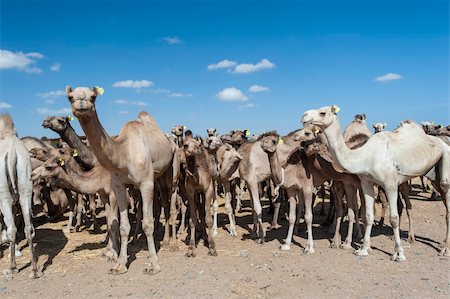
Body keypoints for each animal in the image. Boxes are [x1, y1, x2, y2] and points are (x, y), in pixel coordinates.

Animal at [67, 85, 179, 276]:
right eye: (70, 97)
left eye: (93, 97)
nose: (81, 103)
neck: (124, 154)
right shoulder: (118, 186)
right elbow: (122, 225)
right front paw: (119, 264)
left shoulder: (146, 184)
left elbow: (147, 224)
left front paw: (153, 265)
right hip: (157, 178)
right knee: (163, 203)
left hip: (172, 169)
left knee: (170, 203)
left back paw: (170, 243)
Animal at [302, 106, 450, 262]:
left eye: (322, 112)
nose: (304, 116)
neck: (364, 156)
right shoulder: (366, 183)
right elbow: (367, 215)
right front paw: (363, 249)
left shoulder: (390, 184)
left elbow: (393, 218)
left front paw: (399, 253)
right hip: (433, 173)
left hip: (444, 158)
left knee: (444, 194)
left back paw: (443, 249)